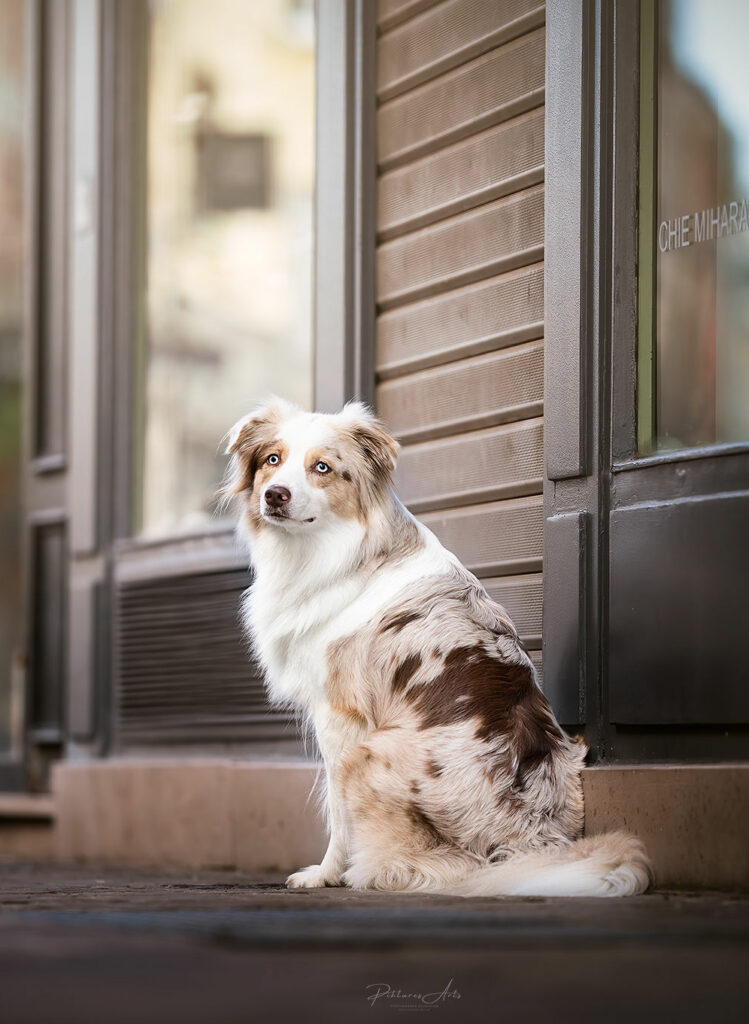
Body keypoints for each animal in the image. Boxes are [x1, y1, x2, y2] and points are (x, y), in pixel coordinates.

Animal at [225, 399, 651, 897]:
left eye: (322, 468)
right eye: (272, 460)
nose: (275, 495)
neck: (329, 551)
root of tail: (533, 838)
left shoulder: (339, 717)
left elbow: (336, 813)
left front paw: (324, 874)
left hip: (370, 753)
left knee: (431, 867)